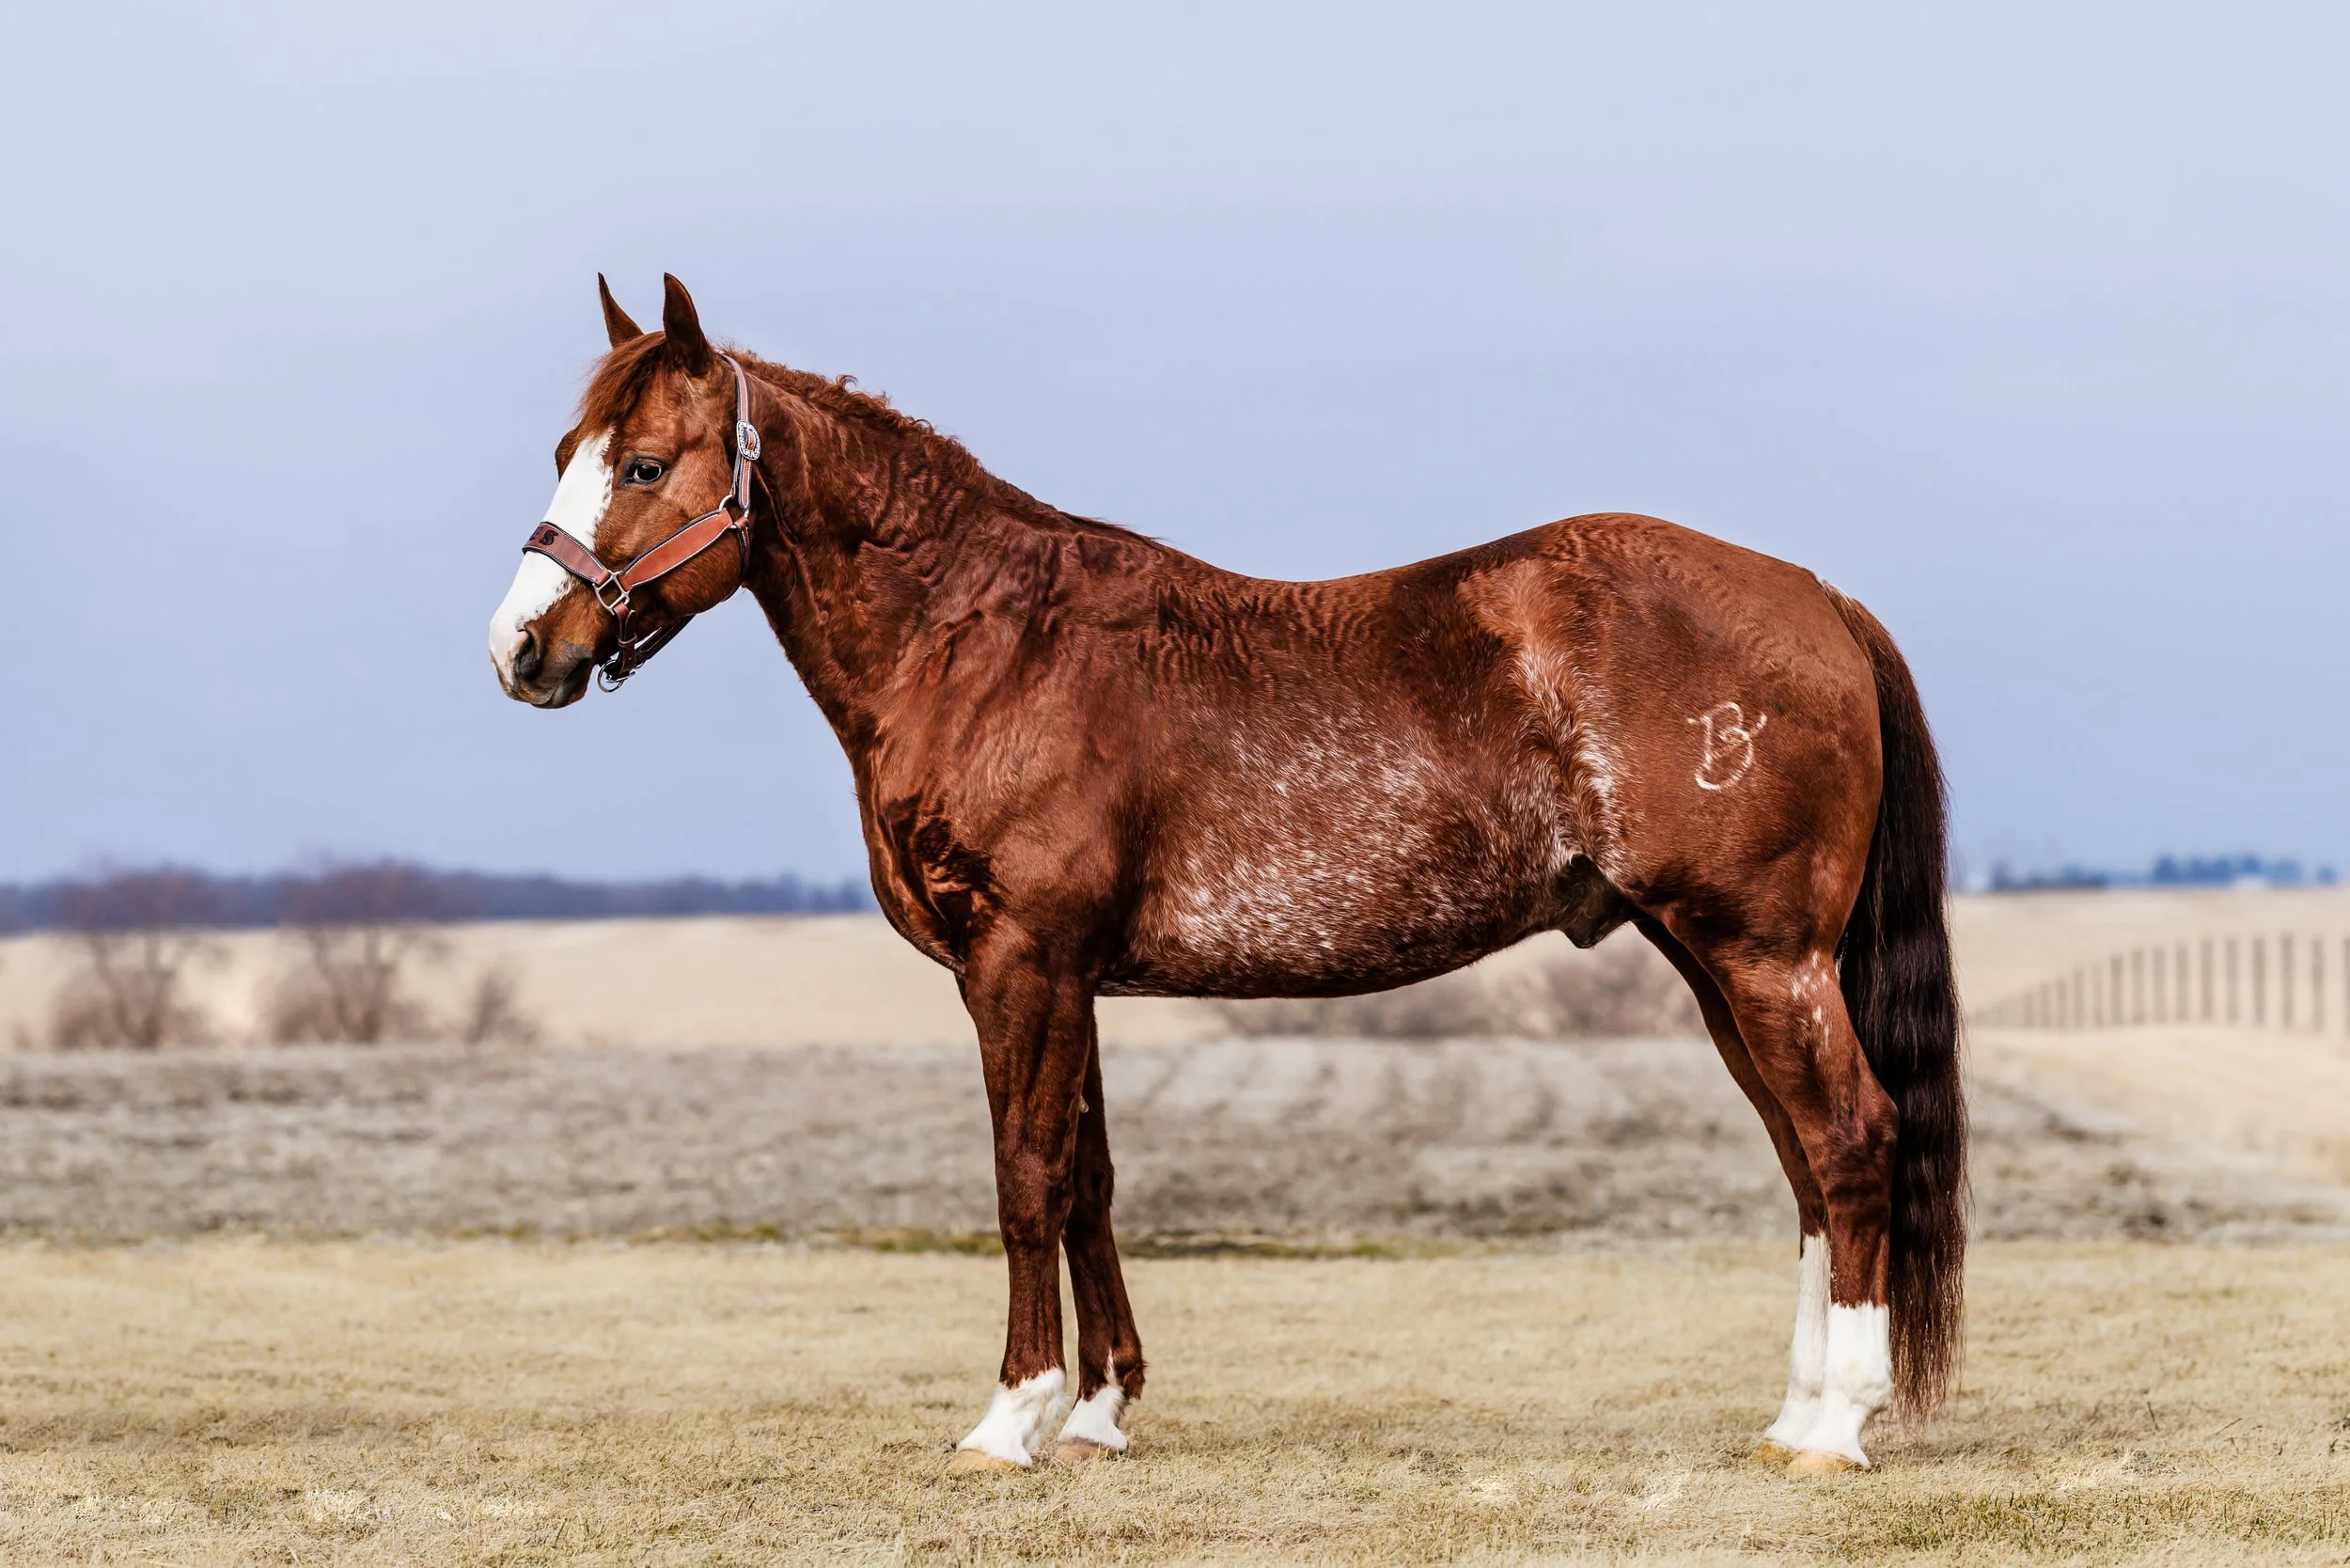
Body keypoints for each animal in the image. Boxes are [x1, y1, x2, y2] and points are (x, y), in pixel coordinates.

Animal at [487, 275, 1966, 1476]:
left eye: (643, 463)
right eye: (567, 454)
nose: (521, 649)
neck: (985, 643)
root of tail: (1816, 597)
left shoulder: (1020, 959)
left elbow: (1024, 1177)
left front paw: (1009, 1420)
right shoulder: (1064, 977)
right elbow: (1088, 1178)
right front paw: (1097, 1412)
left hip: (1759, 954)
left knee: (1850, 1137)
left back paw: (1837, 1424)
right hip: (1716, 964)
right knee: (1801, 1162)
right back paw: (1793, 1414)